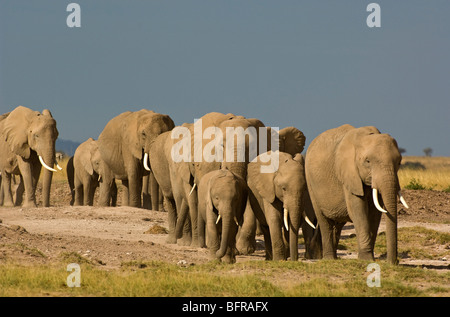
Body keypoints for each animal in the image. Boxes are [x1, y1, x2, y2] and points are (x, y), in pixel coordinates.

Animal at [306, 124, 408, 264]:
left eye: (399, 162)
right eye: (368, 161)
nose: (394, 262)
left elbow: (375, 213)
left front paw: (368, 258)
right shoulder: (349, 174)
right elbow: (358, 210)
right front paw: (366, 259)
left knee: (338, 224)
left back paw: (335, 258)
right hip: (311, 184)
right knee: (324, 221)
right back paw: (329, 258)